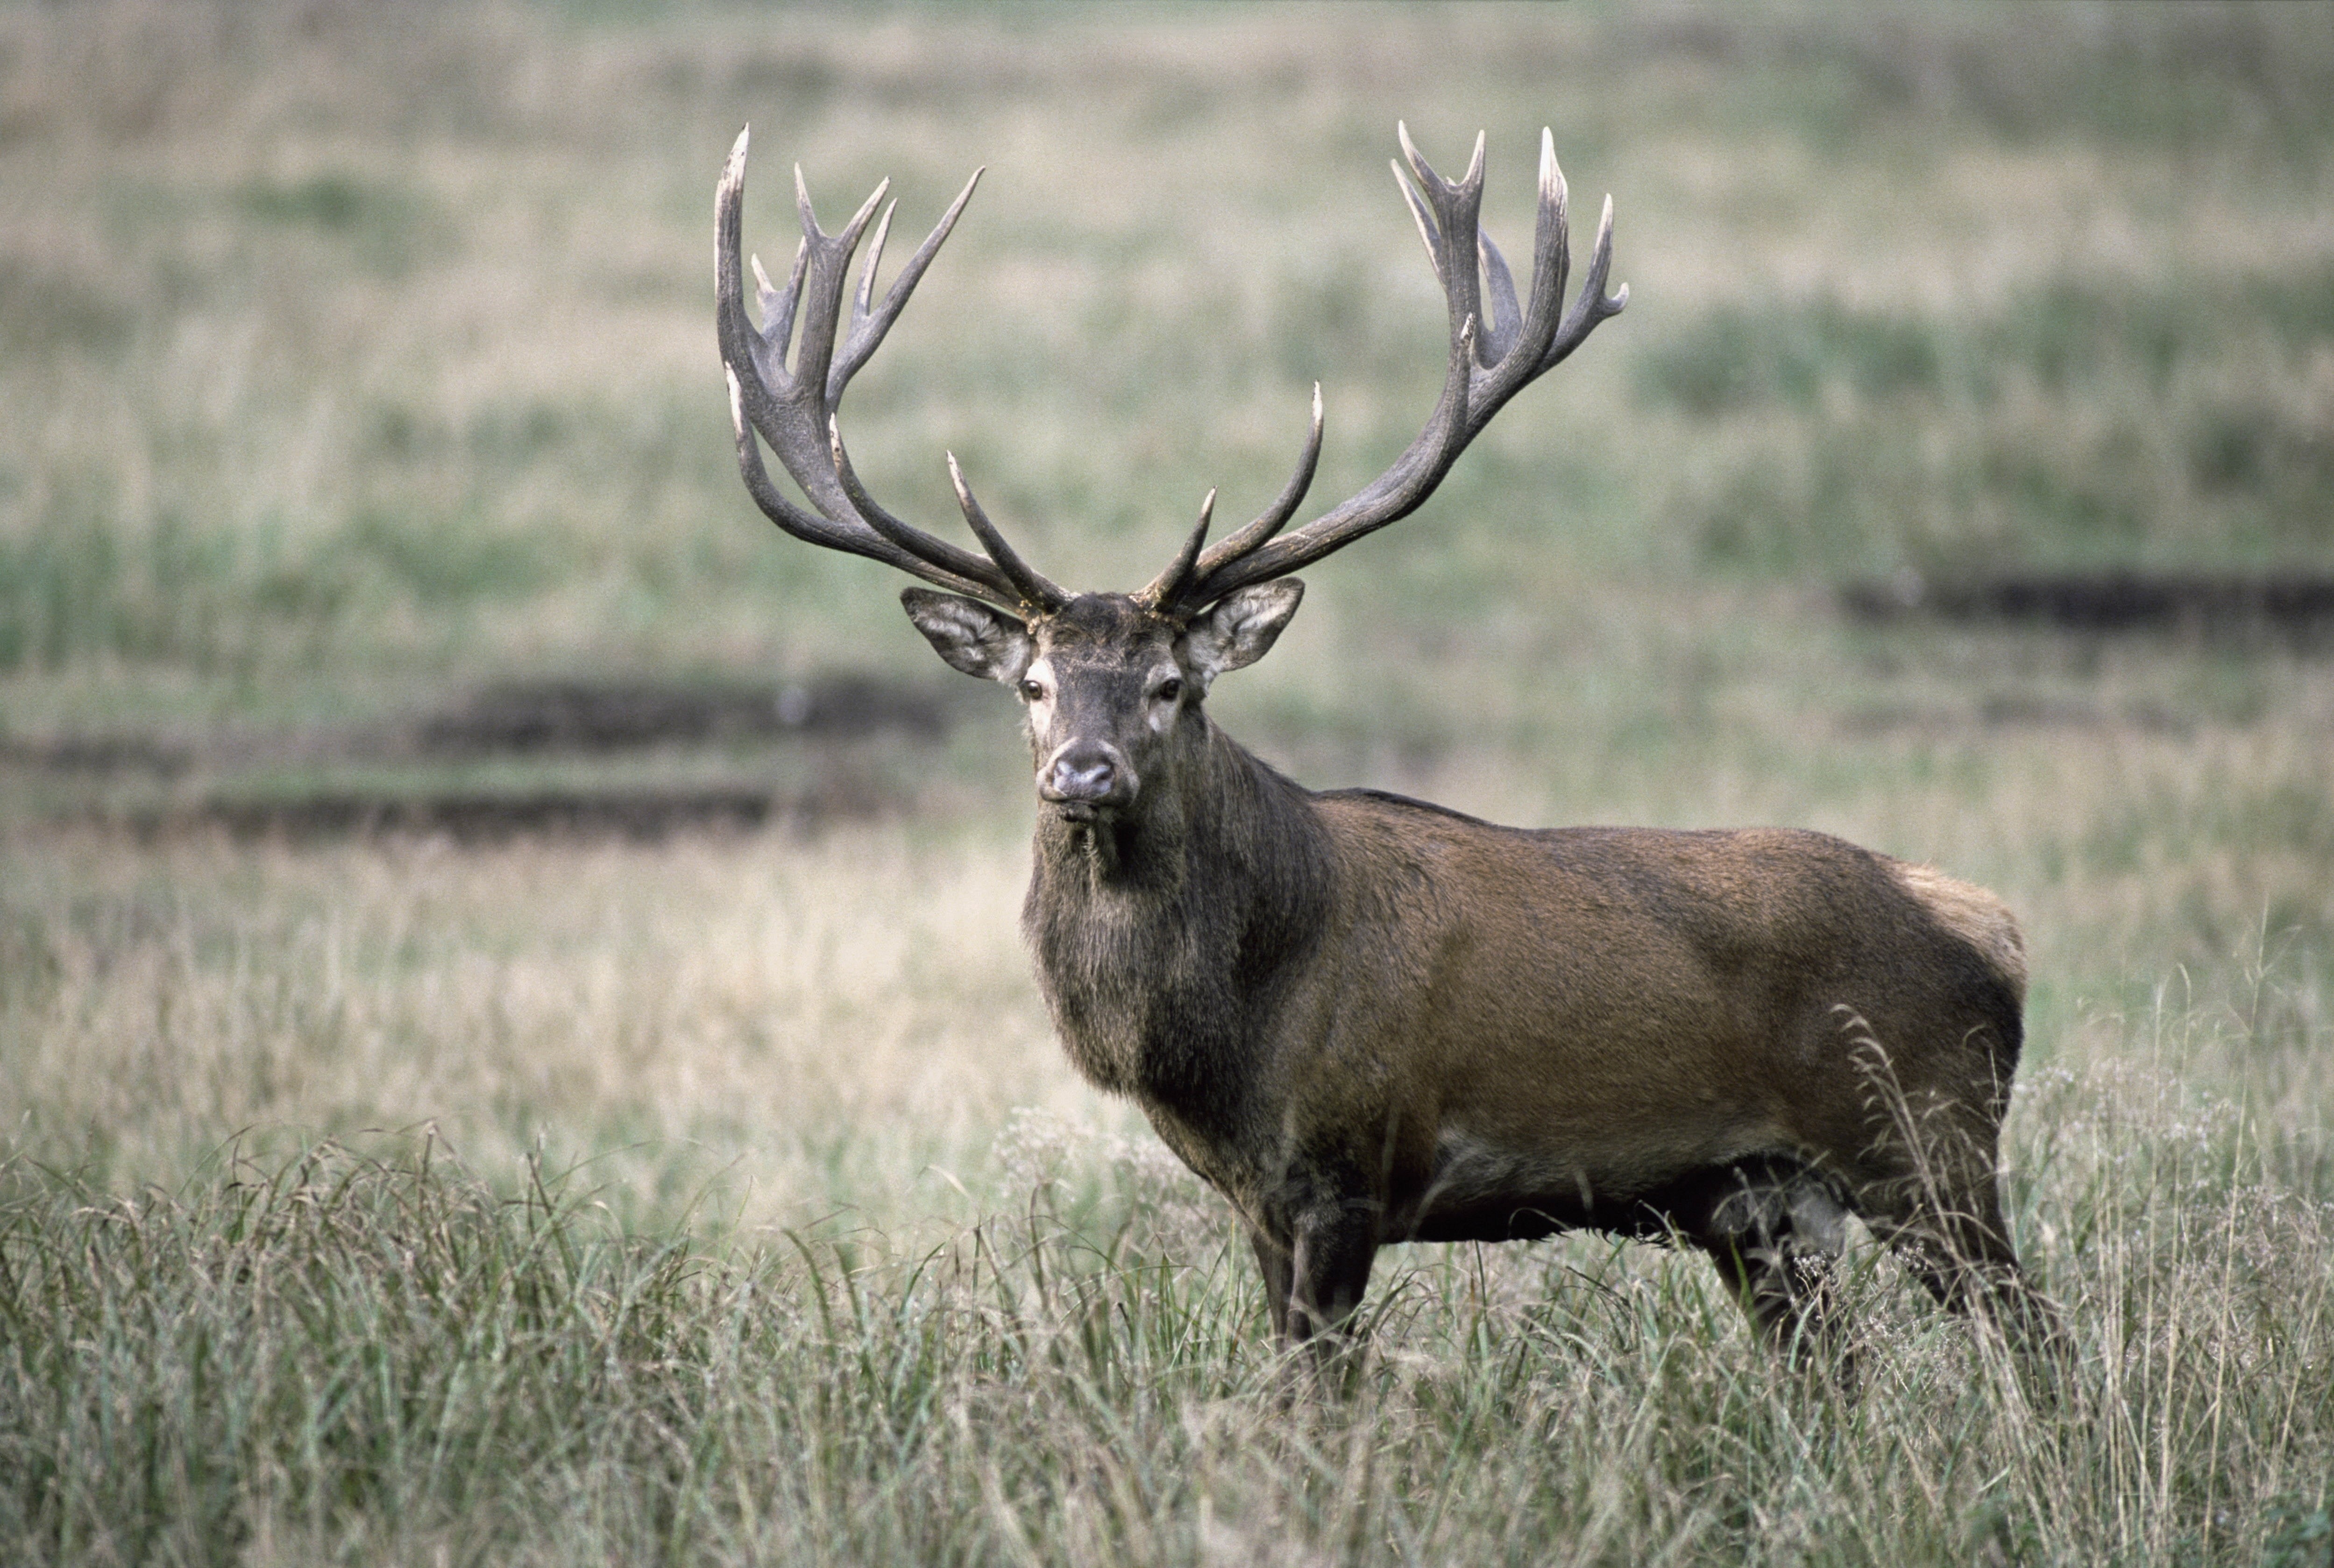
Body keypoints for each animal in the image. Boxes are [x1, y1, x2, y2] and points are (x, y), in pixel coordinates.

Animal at [714, 123, 2063, 1369]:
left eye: (1169, 685)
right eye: (1034, 684)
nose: (1080, 773)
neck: (1225, 1032)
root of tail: (1988, 923)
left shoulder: (1347, 1163)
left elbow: (1319, 1396)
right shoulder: (1257, 1197)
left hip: (1923, 1139)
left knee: (2034, 1340)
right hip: (1758, 1202)